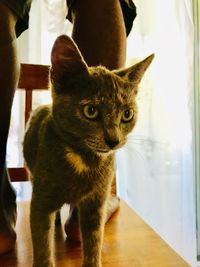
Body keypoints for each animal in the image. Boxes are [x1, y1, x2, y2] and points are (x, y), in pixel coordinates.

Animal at [23, 35, 154, 267]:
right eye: (91, 111)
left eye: (127, 114)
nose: (113, 140)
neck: (84, 159)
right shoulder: (40, 202)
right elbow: (42, 245)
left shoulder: (96, 203)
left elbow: (94, 241)